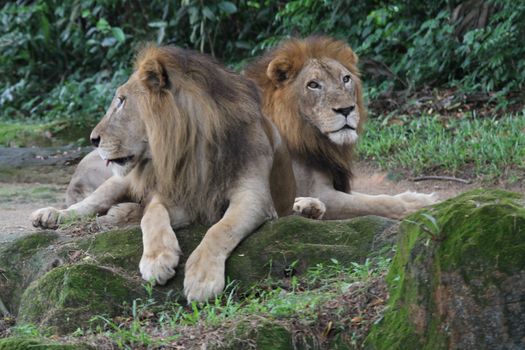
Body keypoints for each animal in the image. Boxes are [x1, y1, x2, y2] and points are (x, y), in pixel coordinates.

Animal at [30, 45, 296, 302]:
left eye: (122, 101)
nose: (93, 140)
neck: (192, 148)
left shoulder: (255, 198)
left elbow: (221, 229)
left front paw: (202, 278)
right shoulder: (172, 192)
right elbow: (152, 214)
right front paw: (157, 260)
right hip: (119, 181)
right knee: (89, 204)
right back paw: (52, 215)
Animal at [244, 36, 436, 219]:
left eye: (346, 79)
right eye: (313, 84)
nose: (346, 110)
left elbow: (372, 197)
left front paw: (418, 198)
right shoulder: (318, 191)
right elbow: (378, 202)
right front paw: (416, 206)